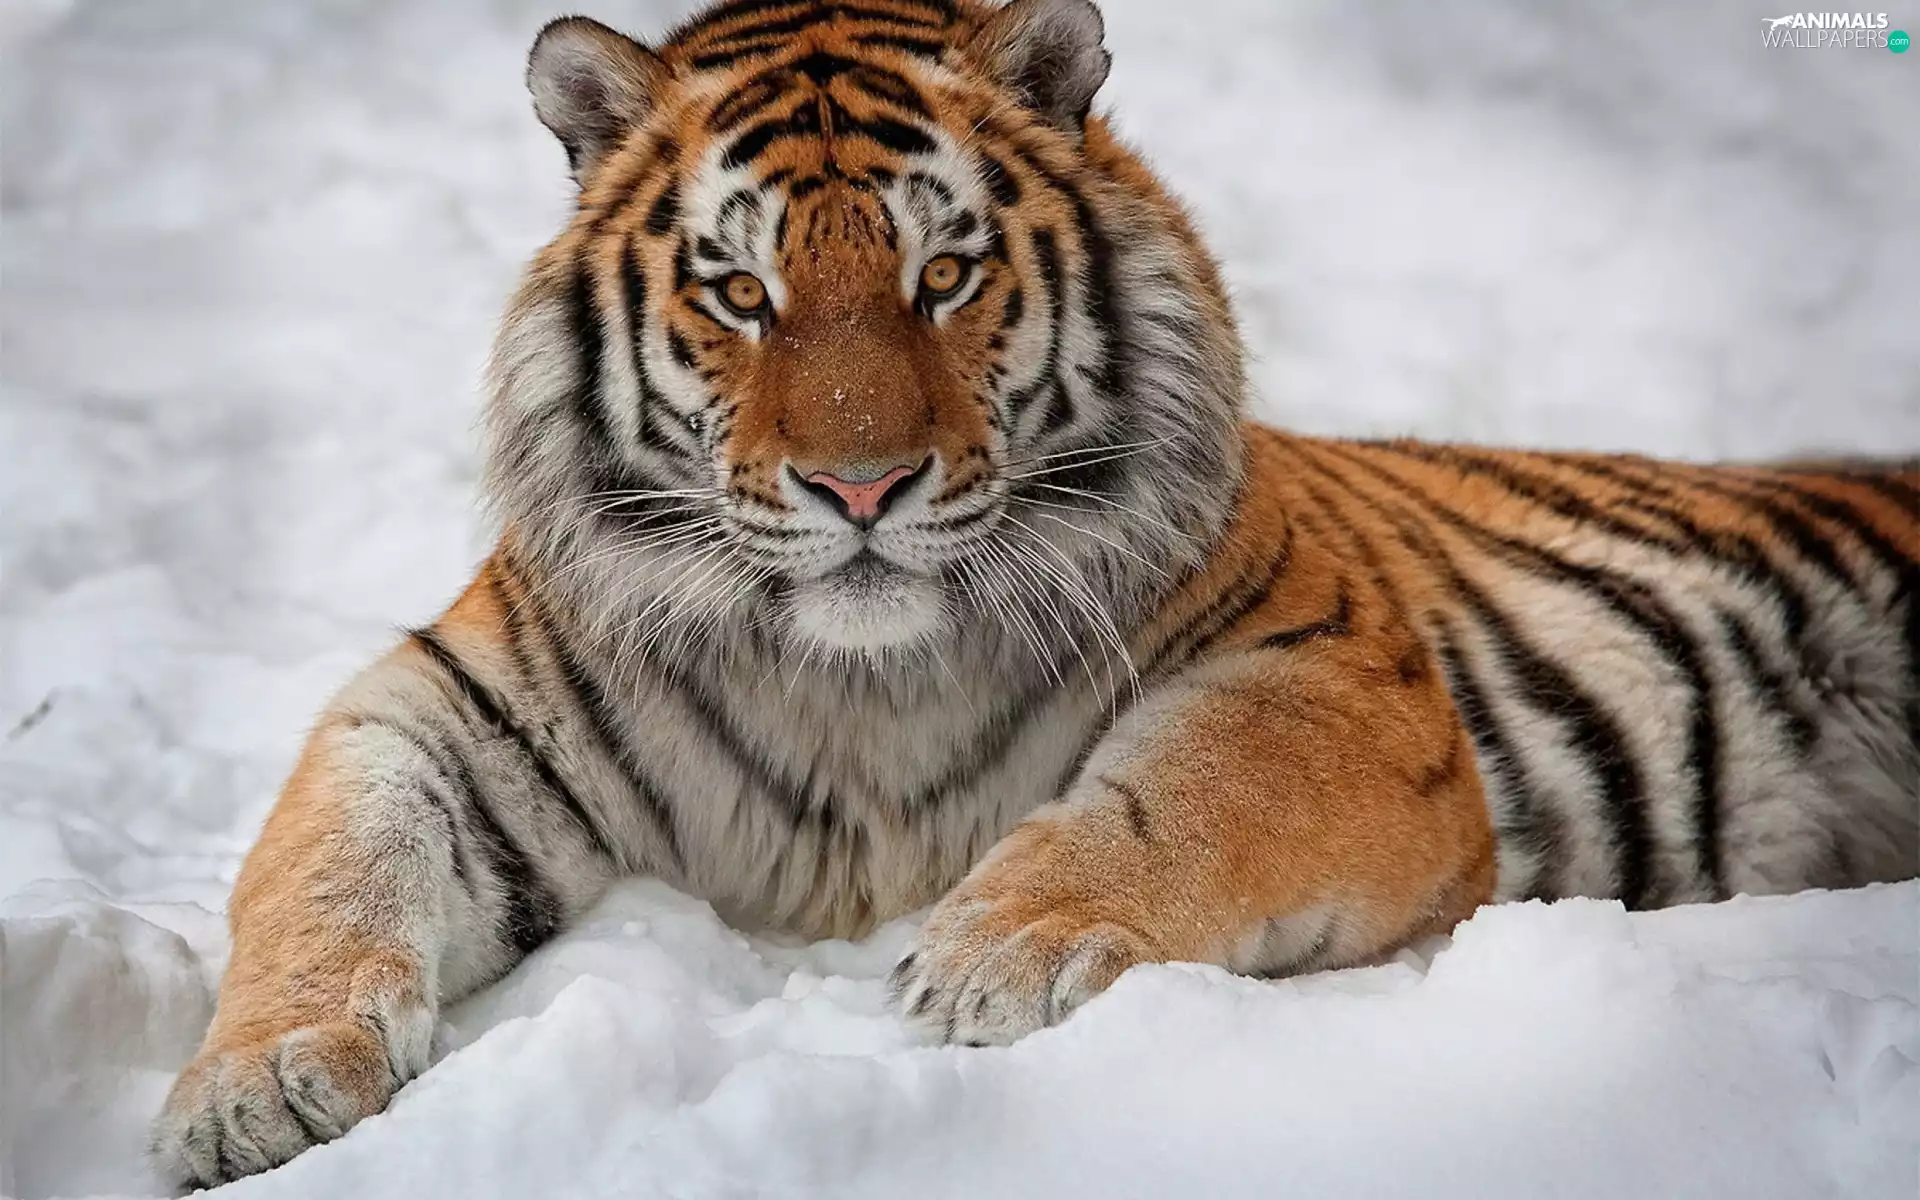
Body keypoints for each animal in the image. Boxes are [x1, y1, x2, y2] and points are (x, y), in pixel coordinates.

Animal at [150, 0, 1920, 1186]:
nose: (860, 489)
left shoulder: (1333, 671)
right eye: (743, 292)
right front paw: (254, 1086)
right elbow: (326, 873)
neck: (856, 681)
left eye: (944, 274)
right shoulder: (439, 710)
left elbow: (1181, 795)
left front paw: (998, 952)